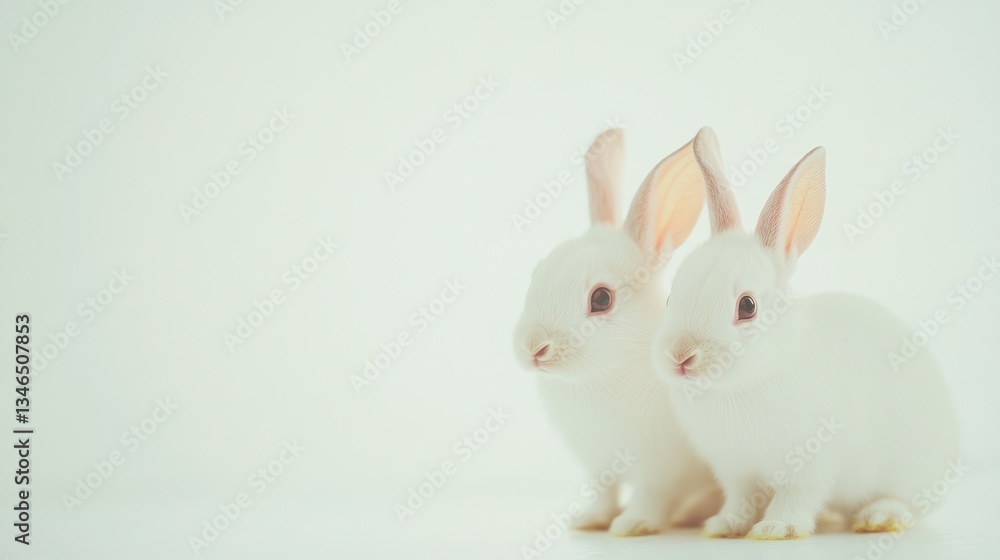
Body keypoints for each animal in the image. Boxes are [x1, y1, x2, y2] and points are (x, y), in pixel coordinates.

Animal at [513, 127, 722, 536]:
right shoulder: (597, 465)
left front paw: (633, 524)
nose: (534, 348)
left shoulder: (660, 469)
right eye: (538, 273)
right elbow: (603, 494)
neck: (601, 378)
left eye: (601, 298)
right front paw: (588, 521)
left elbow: (651, 496)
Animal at [651, 127, 960, 540]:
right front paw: (724, 526)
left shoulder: (813, 464)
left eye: (747, 307)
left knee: (904, 503)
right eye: (671, 297)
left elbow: (797, 496)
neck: (743, 384)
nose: (681, 356)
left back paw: (878, 518)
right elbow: (740, 500)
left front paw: (776, 528)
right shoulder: (736, 470)